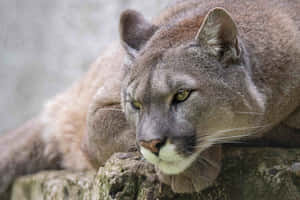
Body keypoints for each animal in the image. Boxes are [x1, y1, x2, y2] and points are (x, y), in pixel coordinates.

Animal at [0, 0, 300, 196]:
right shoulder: (96, 113)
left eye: (182, 94)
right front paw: (189, 171)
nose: (152, 144)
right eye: (135, 103)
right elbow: (114, 128)